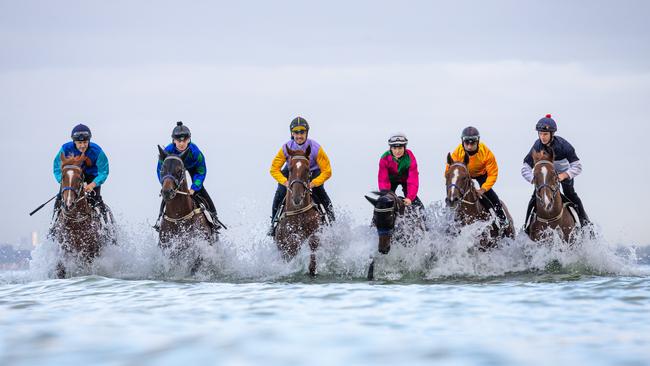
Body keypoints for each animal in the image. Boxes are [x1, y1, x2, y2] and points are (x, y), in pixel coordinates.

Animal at [274, 144, 320, 276]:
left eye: (307, 169)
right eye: (290, 169)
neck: (298, 213)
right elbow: (293, 244)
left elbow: (313, 244)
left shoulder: (316, 232)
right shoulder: (285, 243)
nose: (297, 198)